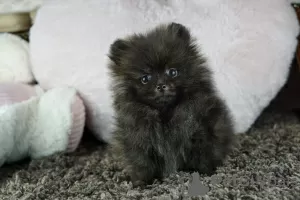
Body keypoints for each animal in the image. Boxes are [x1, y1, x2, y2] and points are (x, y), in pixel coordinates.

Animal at [108, 22, 234, 187]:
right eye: (145, 79)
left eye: (172, 72)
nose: (161, 85)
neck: (165, 113)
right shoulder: (137, 139)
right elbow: (142, 163)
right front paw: (141, 183)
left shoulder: (203, 130)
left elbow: (205, 154)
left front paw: (205, 174)